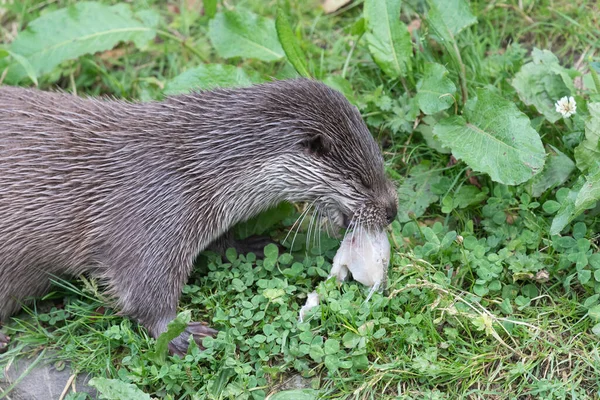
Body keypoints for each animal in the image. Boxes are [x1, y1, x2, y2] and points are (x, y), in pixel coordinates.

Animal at [0, 79, 398, 354]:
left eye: (380, 164)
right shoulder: (152, 217)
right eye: (363, 181)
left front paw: (251, 246)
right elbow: (141, 291)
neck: (192, 168)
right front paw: (180, 334)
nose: (392, 210)